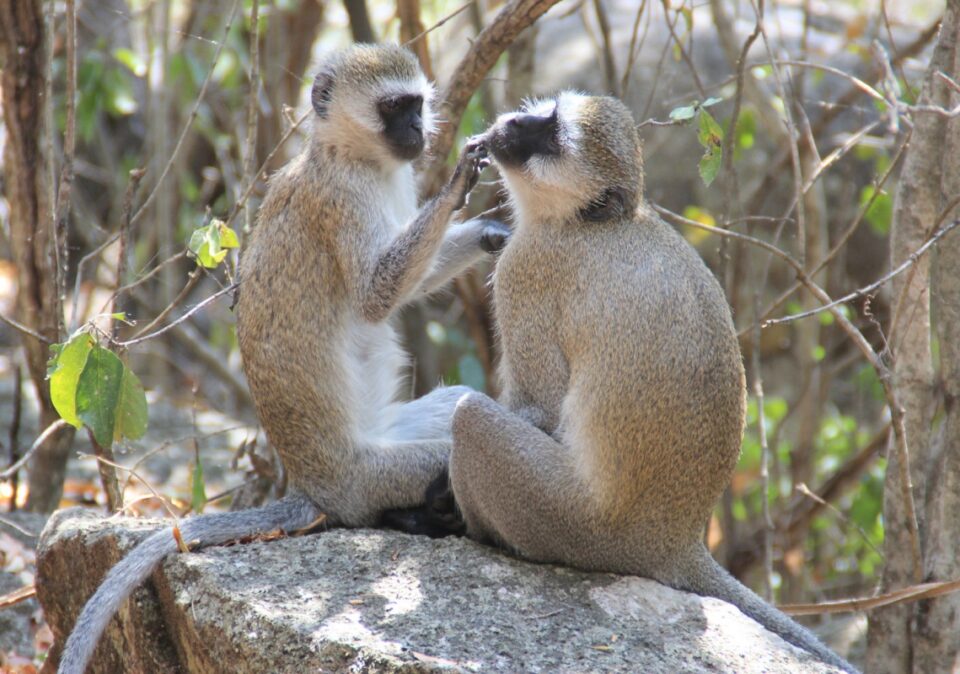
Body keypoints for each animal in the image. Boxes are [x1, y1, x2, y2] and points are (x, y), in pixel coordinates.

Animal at [55, 44, 507, 674]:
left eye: (417, 104)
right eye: (394, 108)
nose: (419, 131)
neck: (351, 157)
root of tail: (311, 488)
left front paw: (494, 232)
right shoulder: (339, 202)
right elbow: (378, 294)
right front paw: (462, 181)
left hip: (392, 433)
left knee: (461, 407)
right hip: (366, 477)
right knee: (436, 462)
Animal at [447, 93, 856, 673]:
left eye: (551, 137)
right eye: (548, 111)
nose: (512, 121)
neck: (587, 222)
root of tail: (675, 539)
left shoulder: (525, 272)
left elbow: (539, 408)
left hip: (574, 522)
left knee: (472, 418)